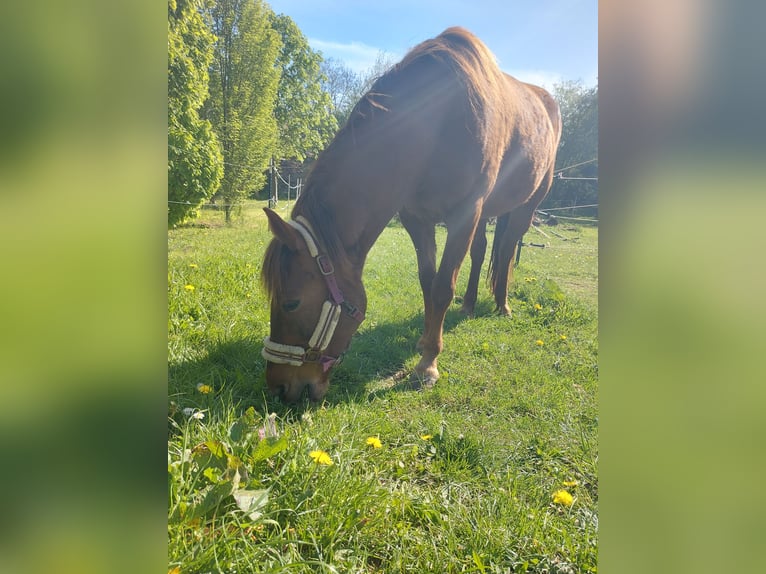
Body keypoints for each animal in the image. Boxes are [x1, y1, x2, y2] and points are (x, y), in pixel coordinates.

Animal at [260, 27, 561, 402]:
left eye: (291, 303)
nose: (278, 386)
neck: (437, 123)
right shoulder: (417, 220)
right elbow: (427, 281)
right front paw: (426, 342)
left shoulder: (463, 215)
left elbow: (443, 286)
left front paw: (428, 364)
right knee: (480, 253)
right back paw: (469, 305)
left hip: (525, 209)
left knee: (505, 252)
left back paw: (502, 306)